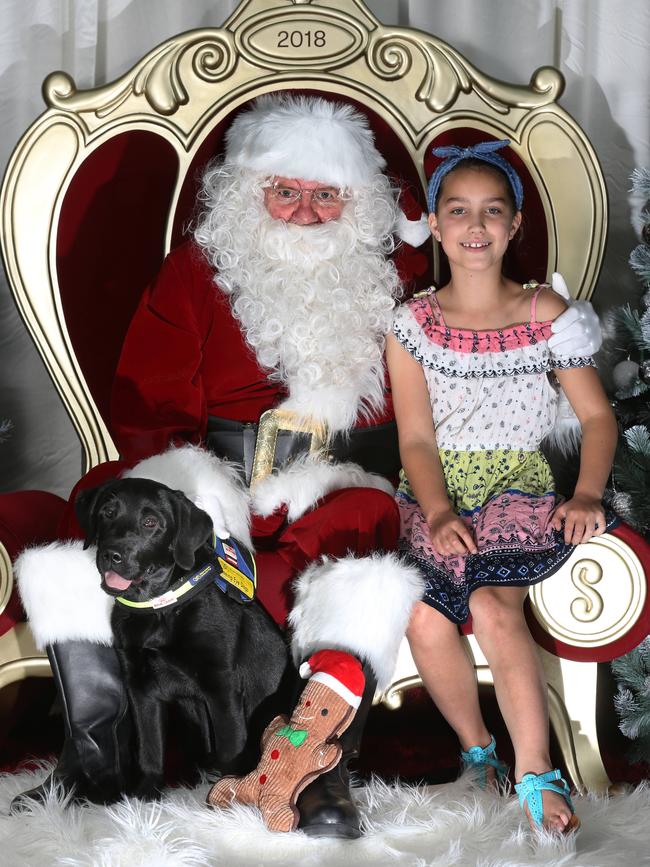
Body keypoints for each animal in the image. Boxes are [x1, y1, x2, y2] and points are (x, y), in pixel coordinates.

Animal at [74, 474, 294, 800]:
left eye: (151, 522)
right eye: (107, 513)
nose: (112, 555)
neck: (158, 609)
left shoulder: (221, 686)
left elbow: (230, 748)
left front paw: (225, 796)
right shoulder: (139, 687)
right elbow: (150, 749)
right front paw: (144, 797)